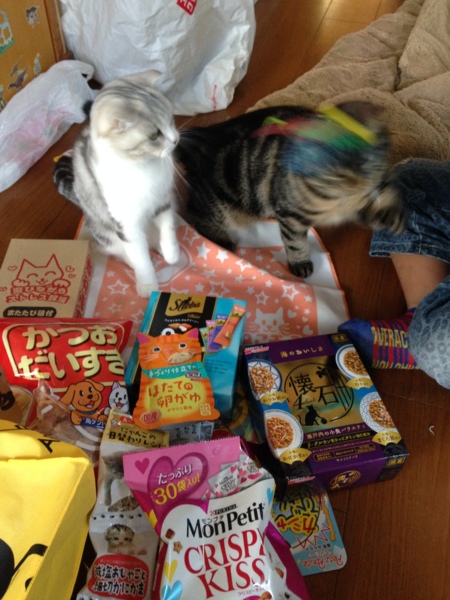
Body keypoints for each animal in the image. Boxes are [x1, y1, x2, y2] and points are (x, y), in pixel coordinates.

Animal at [54, 71, 180, 297]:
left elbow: (167, 228)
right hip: (105, 234)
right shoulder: (126, 224)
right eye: (154, 135)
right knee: (122, 252)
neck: (141, 166)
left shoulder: (162, 200)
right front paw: (147, 286)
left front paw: (172, 253)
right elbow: (140, 258)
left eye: (172, 119)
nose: (175, 140)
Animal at [176, 101, 406, 278]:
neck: (337, 201)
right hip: (221, 208)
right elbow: (295, 243)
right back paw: (222, 240)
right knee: (196, 215)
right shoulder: (291, 216)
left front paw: (398, 223)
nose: (360, 186)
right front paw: (300, 263)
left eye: (372, 164)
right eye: (335, 171)